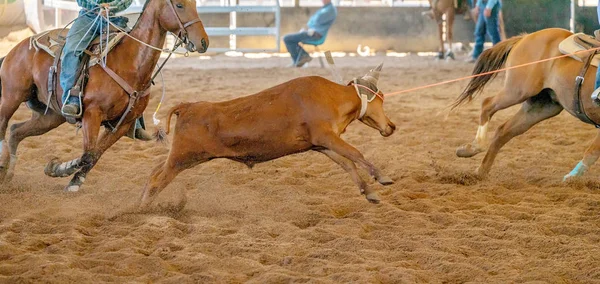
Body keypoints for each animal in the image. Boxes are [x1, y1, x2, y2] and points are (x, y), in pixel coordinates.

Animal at [0, 0, 209, 192]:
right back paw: (3, 164)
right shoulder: (92, 114)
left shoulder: (123, 124)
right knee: (4, 125)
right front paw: (58, 169)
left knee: (16, 131)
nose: (204, 42)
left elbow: (94, 155)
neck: (129, 62)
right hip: (12, 96)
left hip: (51, 116)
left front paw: (72, 179)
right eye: (180, 5)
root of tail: (17, 47)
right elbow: (87, 154)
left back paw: (8, 174)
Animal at [138, 65, 396, 211]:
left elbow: (348, 163)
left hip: (183, 156)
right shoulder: (326, 136)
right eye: (381, 97)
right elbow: (355, 153)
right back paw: (141, 209)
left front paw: (369, 192)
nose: (391, 126)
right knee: (157, 180)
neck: (332, 97)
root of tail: (187, 106)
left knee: (154, 171)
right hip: (182, 158)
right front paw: (382, 177)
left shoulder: (322, 144)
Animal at [454, 28, 600, 180]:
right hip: (518, 90)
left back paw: (480, 170)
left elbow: (594, 151)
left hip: (541, 106)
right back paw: (475, 147)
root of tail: (525, 37)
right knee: (487, 104)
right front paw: (571, 178)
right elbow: (593, 151)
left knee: (503, 130)